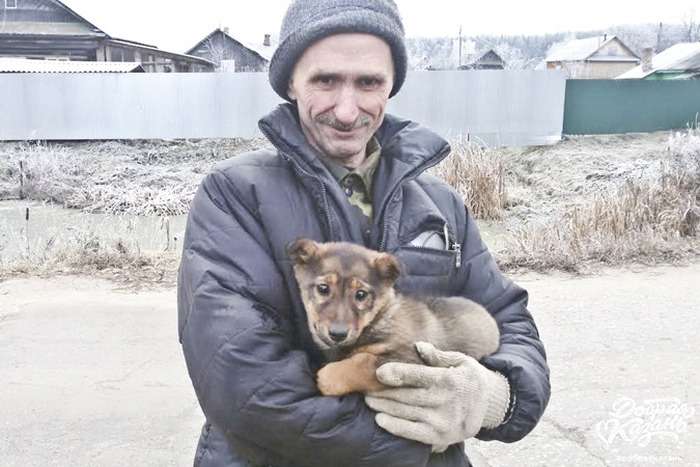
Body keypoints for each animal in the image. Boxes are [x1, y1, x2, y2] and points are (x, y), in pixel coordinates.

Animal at [288, 239, 500, 396]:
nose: (338, 334)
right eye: (323, 288)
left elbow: (362, 363)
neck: (379, 320)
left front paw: (328, 377)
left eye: (361, 295)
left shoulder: (412, 359)